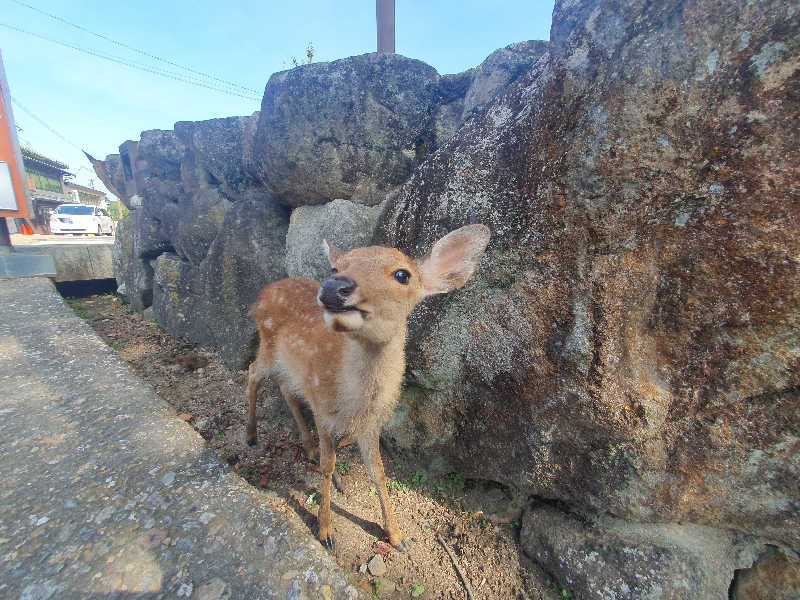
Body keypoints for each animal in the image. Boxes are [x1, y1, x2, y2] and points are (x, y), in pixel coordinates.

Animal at [247, 223, 490, 552]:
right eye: (334, 267)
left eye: (402, 274)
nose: (333, 286)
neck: (354, 403)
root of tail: (260, 295)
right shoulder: (323, 411)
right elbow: (328, 464)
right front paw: (325, 531)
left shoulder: (372, 425)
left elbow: (378, 471)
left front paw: (396, 535)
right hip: (268, 346)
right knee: (252, 373)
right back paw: (250, 435)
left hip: (290, 366)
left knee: (284, 386)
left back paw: (306, 446)